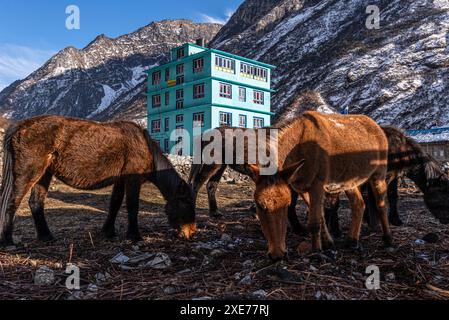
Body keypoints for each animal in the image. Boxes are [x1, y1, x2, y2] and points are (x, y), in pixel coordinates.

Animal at [0, 115, 196, 245]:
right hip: (29, 172)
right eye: (186, 202)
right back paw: (8, 240)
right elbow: (133, 206)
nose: (191, 232)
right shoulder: (132, 181)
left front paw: (108, 231)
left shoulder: (120, 181)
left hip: (44, 175)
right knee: (13, 202)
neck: (145, 147)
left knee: (35, 203)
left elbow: (114, 204)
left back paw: (46, 236)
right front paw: (134, 235)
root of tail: (20, 125)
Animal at [247, 111, 390, 258]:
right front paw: (327, 243)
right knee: (359, 204)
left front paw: (316, 251)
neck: (299, 147)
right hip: (350, 182)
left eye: (287, 204)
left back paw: (387, 239)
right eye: (259, 205)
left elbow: (314, 222)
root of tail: (376, 126)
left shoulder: (317, 184)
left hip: (379, 175)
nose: (277, 254)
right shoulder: (303, 188)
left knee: (381, 205)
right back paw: (352, 240)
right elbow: (320, 217)